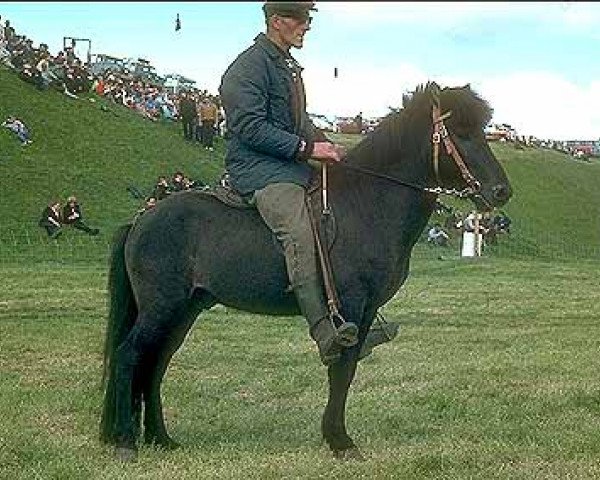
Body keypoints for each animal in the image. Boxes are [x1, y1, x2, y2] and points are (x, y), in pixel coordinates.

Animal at [99, 83, 510, 462]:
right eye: (462, 133)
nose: (501, 191)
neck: (367, 204)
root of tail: (142, 220)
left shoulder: (365, 312)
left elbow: (347, 370)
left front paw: (336, 436)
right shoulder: (351, 306)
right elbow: (342, 370)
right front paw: (340, 440)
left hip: (184, 310)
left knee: (155, 365)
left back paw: (160, 438)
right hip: (161, 308)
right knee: (129, 356)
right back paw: (125, 441)